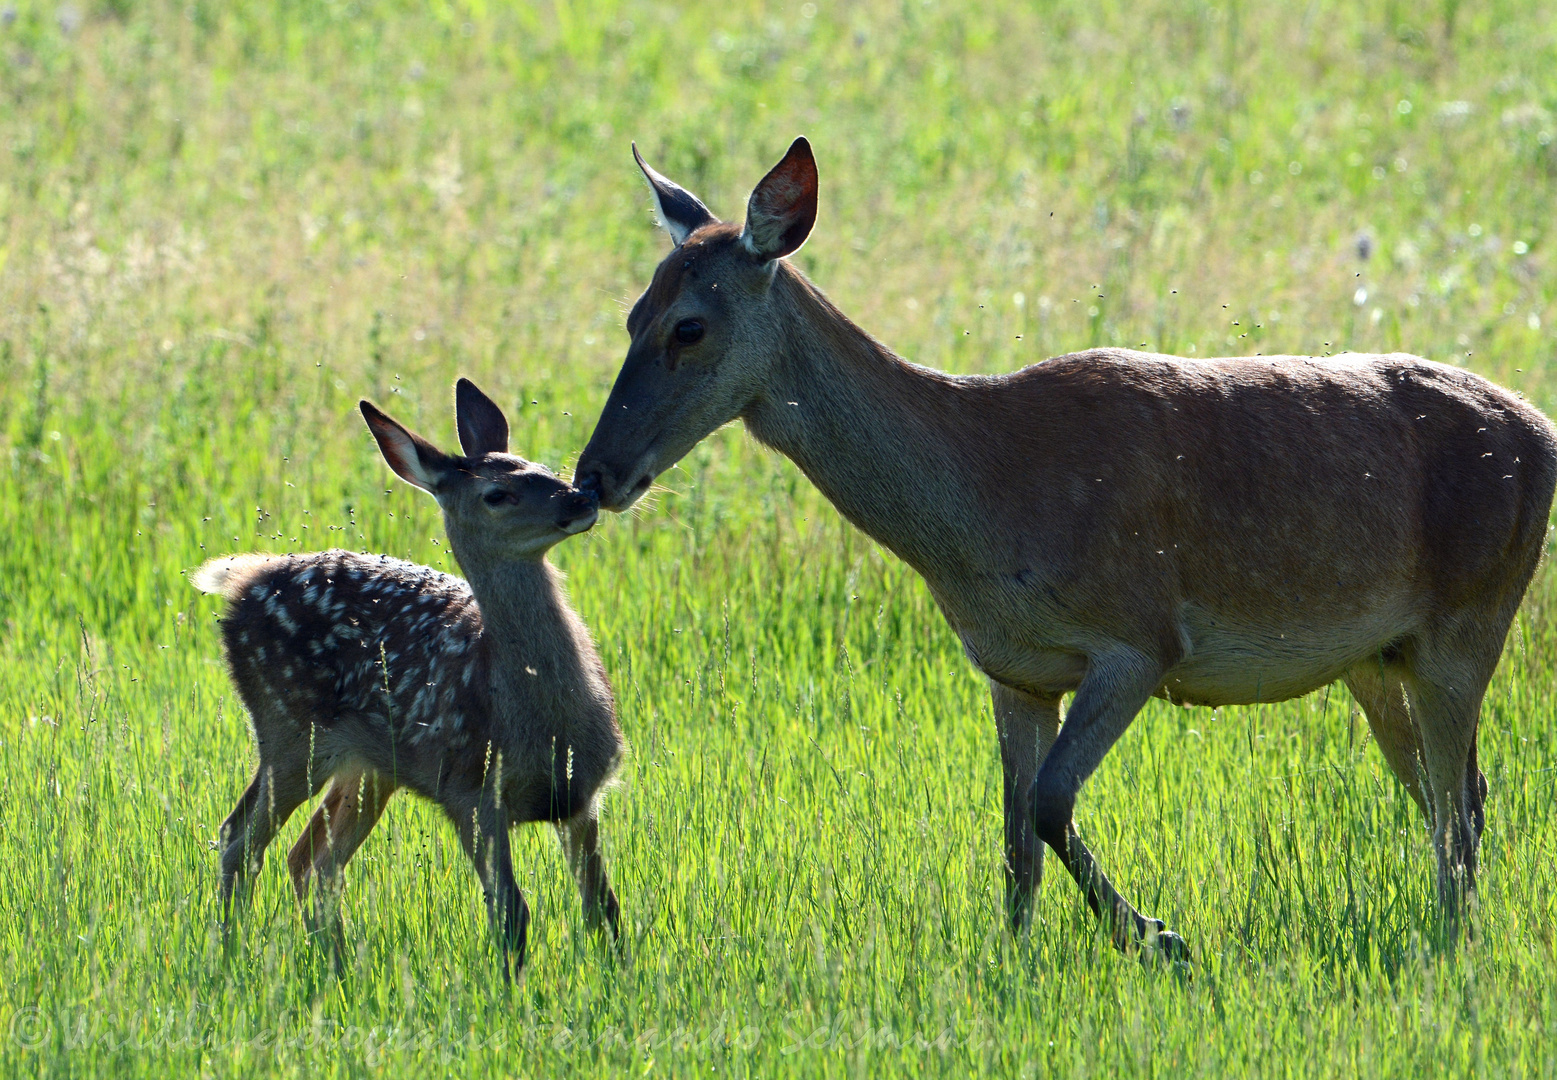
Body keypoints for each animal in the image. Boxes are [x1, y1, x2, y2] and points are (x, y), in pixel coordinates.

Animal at [579, 135, 1557, 958]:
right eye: (628, 315)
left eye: (688, 325)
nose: (595, 475)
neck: (984, 504)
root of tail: (1539, 431)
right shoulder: (1012, 668)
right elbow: (1013, 838)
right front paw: (1013, 963)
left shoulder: (1139, 636)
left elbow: (1051, 803)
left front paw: (1157, 937)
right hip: (1375, 659)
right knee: (1446, 795)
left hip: (1472, 615)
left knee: (1461, 802)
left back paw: (1452, 942)